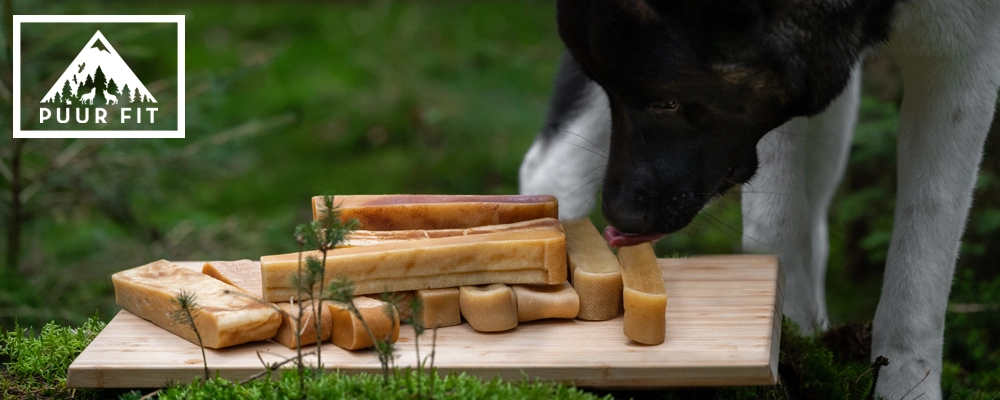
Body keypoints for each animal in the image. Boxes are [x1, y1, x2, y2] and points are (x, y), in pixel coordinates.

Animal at [520, 1, 1000, 398]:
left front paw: (907, 387)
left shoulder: (966, 56)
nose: (619, 217)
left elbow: (923, 258)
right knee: (548, 165)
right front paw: (790, 351)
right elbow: (778, 227)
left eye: (668, 102)